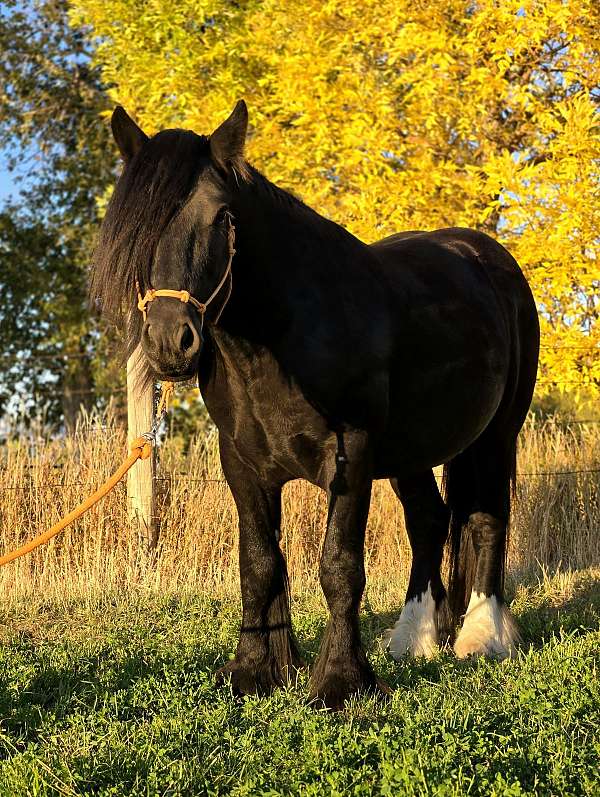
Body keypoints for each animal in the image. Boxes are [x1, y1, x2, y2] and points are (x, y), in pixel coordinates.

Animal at [92, 101, 540, 708]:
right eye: (136, 227)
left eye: (222, 218)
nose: (170, 343)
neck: (284, 337)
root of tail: (488, 255)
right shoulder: (242, 464)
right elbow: (260, 564)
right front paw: (256, 671)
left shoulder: (352, 455)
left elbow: (339, 566)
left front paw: (340, 683)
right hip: (412, 450)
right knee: (430, 520)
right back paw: (414, 638)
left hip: (496, 435)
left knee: (487, 519)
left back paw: (483, 635)